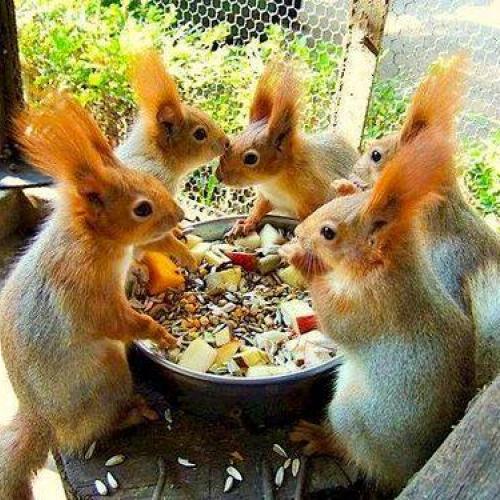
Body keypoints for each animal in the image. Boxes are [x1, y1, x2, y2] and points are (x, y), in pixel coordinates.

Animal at [0, 94, 184, 500]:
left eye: (151, 178)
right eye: (142, 208)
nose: (180, 215)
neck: (92, 239)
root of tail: (42, 419)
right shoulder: (84, 288)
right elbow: (116, 320)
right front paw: (159, 333)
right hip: (108, 379)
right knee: (95, 429)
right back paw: (134, 414)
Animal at [216, 60, 360, 236]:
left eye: (251, 158)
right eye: (233, 140)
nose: (218, 176)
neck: (274, 181)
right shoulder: (268, 197)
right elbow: (259, 209)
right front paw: (245, 224)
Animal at [286, 123, 476, 494]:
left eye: (328, 233)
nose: (298, 231)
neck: (386, 268)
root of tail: (409, 470)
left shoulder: (374, 306)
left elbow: (337, 323)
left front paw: (301, 261)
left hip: (351, 416)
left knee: (356, 455)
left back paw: (321, 438)